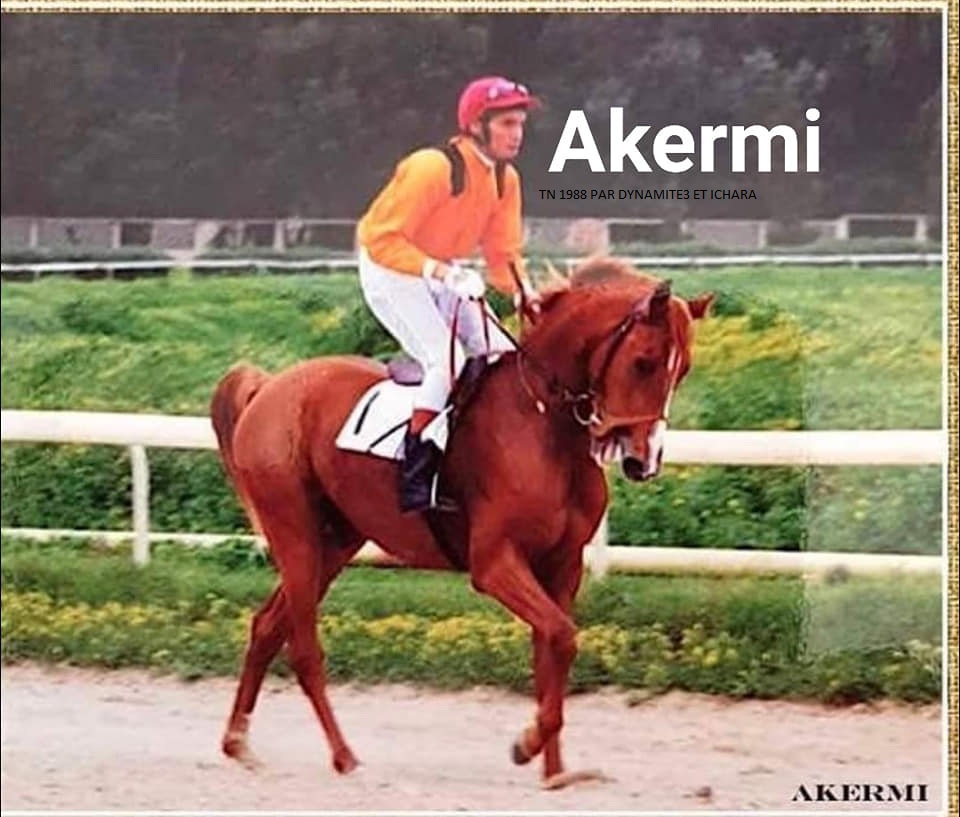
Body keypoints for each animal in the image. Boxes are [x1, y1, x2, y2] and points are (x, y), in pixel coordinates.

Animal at [210, 257, 714, 788]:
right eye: (644, 362)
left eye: (683, 370)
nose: (644, 461)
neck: (544, 423)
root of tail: (268, 388)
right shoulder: (494, 563)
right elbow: (562, 636)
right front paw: (527, 744)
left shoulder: (562, 565)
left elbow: (550, 653)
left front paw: (555, 770)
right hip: (296, 535)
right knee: (304, 648)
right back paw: (343, 756)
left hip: (335, 543)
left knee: (267, 626)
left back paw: (238, 742)